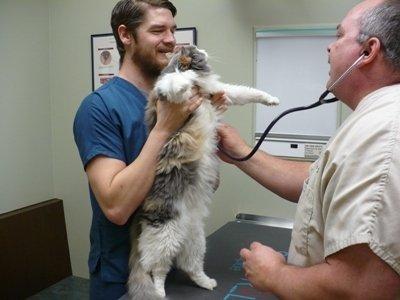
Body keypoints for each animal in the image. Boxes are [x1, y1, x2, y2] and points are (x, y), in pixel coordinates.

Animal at [128, 45, 278, 298]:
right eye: (195, 50)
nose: (204, 49)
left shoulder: (221, 91)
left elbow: (247, 92)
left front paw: (271, 99)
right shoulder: (166, 90)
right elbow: (175, 82)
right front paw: (184, 81)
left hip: (195, 243)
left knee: (190, 268)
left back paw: (207, 283)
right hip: (163, 238)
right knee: (156, 270)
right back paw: (159, 292)